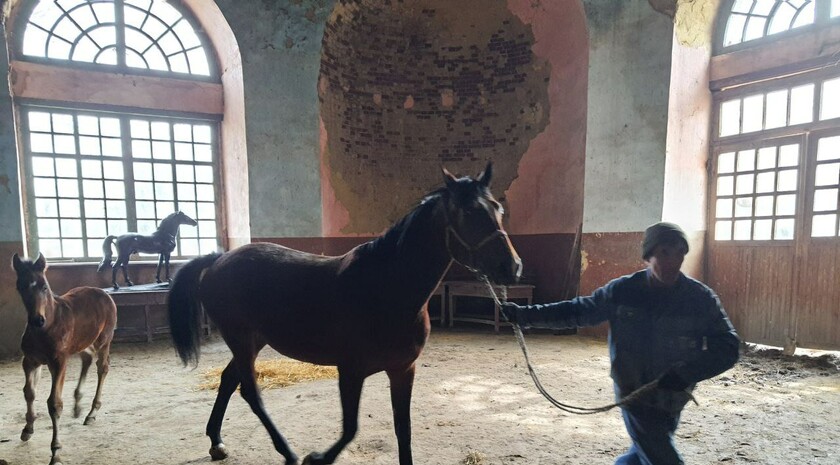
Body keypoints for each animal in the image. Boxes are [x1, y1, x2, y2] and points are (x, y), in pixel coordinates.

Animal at [11, 254, 118, 464]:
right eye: (20, 287)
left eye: (44, 286)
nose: (37, 320)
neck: (47, 326)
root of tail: (103, 292)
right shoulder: (30, 361)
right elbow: (29, 392)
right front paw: (27, 429)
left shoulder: (58, 362)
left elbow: (54, 403)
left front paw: (56, 452)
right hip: (81, 342)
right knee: (87, 358)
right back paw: (78, 405)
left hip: (104, 340)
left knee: (102, 367)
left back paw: (91, 413)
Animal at [167, 163, 520, 464]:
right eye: (469, 211)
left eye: (498, 209)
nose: (512, 267)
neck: (387, 290)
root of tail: (218, 260)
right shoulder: (350, 370)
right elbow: (350, 429)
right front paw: (317, 457)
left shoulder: (403, 369)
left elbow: (403, 431)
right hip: (241, 338)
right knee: (250, 392)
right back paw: (288, 452)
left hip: (253, 341)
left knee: (229, 380)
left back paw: (217, 441)